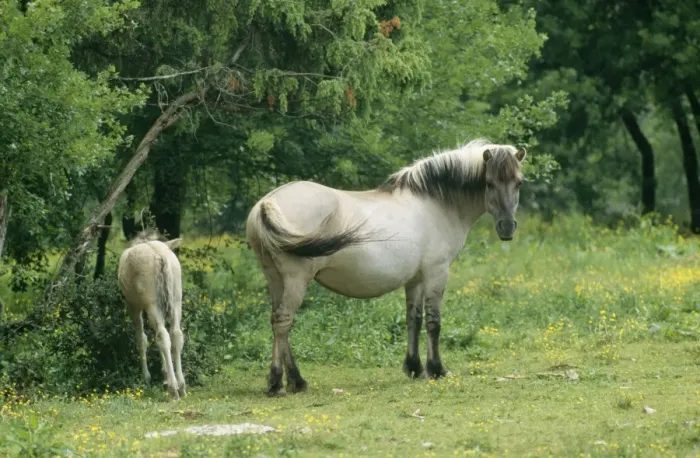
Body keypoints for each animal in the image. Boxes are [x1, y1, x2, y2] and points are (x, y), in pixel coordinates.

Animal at [117, 229, 187, 400]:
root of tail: (160, 256)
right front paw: (164, 375)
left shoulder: (133, 306)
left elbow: (141, 339)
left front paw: (146, 377)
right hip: (176, 301)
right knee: (175, 335)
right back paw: (181, 386)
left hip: (152, 304)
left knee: (162, 336)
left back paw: (173, 389)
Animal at [246, 139, 526, 396]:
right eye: (489, 183)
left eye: (519, 183)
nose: (507, 227)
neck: (435, 203)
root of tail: (266, 204)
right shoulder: (436, 274)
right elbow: (433, 322)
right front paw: (436, 369)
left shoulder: (415, 279)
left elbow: (414, 319)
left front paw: (414, 368)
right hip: (296, 279)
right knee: (284, 322)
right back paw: (278, 382)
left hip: (275, 279)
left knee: (278, 321)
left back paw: (295, 381)